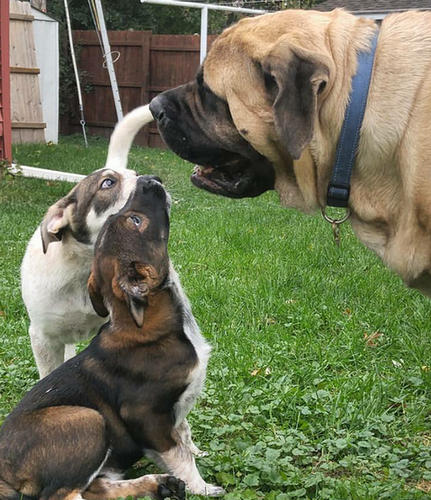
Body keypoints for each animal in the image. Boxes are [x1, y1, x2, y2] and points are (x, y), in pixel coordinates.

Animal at [2, 177, 226, 500]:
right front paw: (202, 487)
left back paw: (157, 483)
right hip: (88, 420)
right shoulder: (144, 415)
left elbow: (183, 433)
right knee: (65, 494)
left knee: (98, 487)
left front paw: (196, 456)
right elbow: (178, 453)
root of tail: (5, 471)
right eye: (136, 221)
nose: (151, 180)